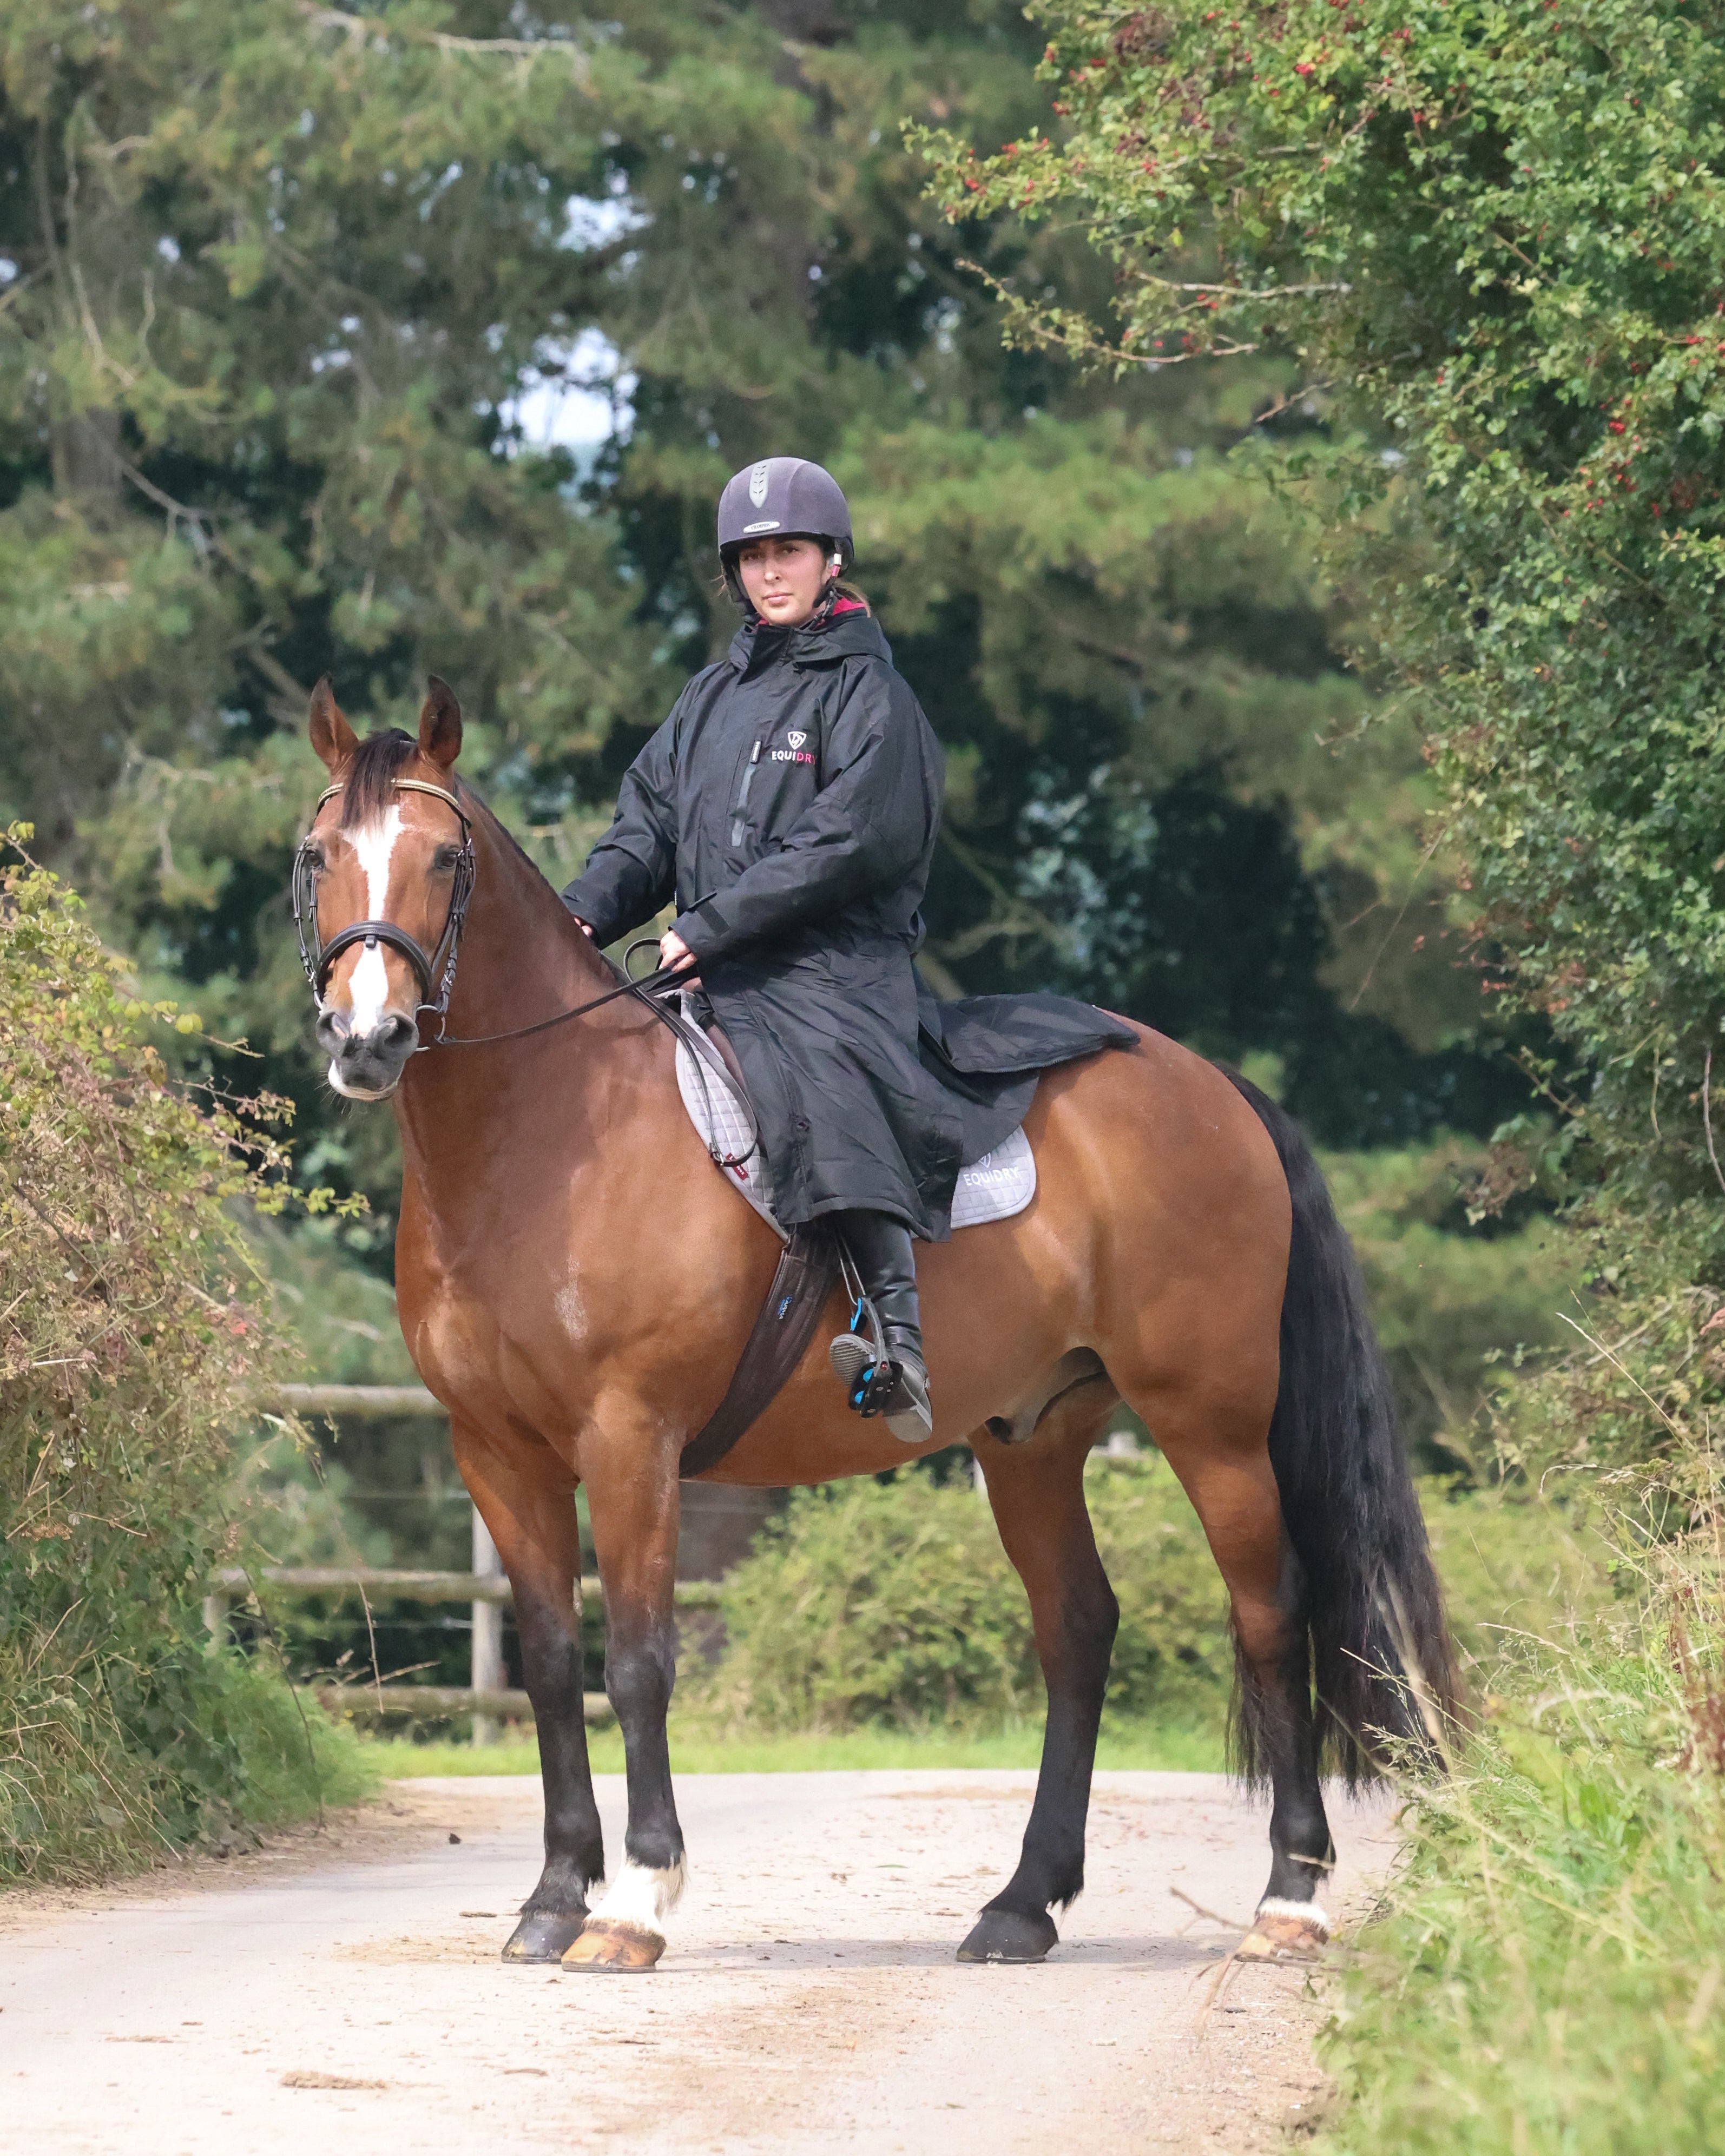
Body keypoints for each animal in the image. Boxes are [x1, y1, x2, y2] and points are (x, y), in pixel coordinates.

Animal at [294, 674, 1456, 1972]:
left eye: (445, 859)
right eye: (318, 855)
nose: (367, 1039)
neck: (545, 1135)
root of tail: (1215, 1088)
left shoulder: (631, 1441)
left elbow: (637, 1663)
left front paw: (636, 1902)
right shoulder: (498, 1455)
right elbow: (549, 1666)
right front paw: (551, 1899)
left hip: (1209, 1425)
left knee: (1269, 1612)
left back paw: (1287, 1899)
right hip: (1033, 1440)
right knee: (1077, 1631)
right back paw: (1020, 1906)